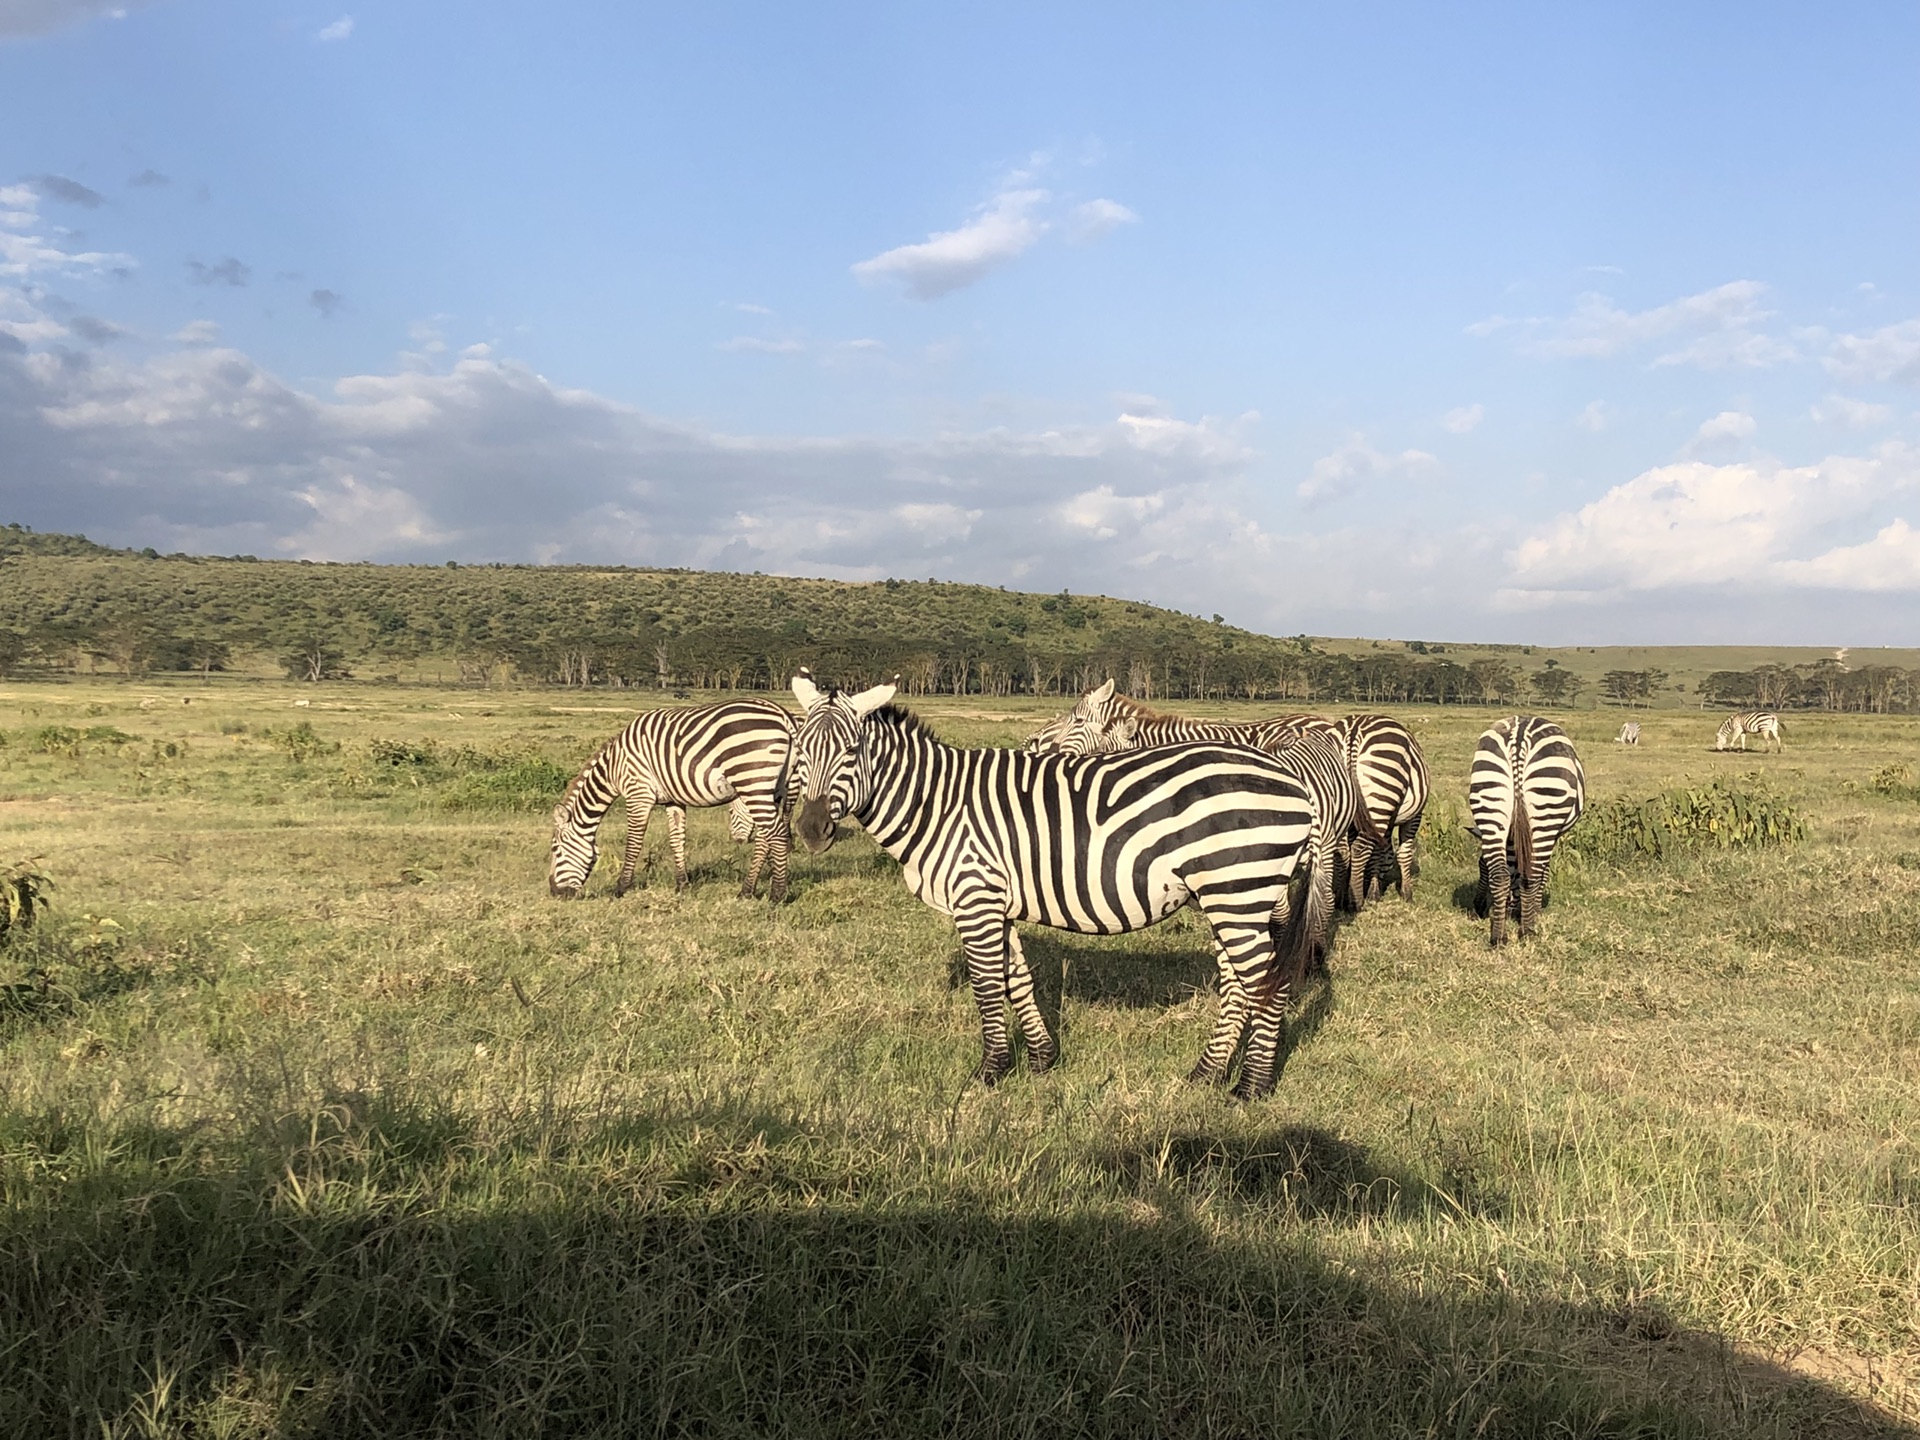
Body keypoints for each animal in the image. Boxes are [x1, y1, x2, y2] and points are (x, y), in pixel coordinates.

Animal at [552, 698, 798, 902]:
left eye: (555, 850)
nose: (554, 893)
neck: (614, 767)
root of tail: (782, 714)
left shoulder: (638, 792)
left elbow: (633, 842)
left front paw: (621, 888)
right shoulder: (673, 799)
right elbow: (676, 839)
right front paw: (682, 885)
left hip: (752, 781)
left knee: (776, 833)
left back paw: (777, 895)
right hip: (774, 788)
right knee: (765, 837)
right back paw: (746, 891)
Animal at [783, 675, 1320, 1105]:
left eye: (852, 752)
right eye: (800, 750)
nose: (810, 830)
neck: (936, 804)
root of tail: (1295, 784)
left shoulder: (974, 896)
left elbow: (987, 987)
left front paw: (989, 1073)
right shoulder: (996, 900)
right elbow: (1017, 979)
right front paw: (1040, 1060)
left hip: (1237, 892)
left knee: (1266, 985)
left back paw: (1251, 1087)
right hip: (1231, 897)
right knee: (1238, 984)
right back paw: (1205, 1075)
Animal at [1466, 718, 1589, 948]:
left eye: (1480, 867)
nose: (1477, 909)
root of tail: (1519, 734)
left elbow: (1512, 869)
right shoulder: (1551, 838)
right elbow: (1543, 873)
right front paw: (1532, 910)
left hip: (1490, 797)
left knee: (1500, 874)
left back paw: (1498, 936)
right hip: (1547, 809)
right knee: (1531, 874)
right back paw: (1528, 931)